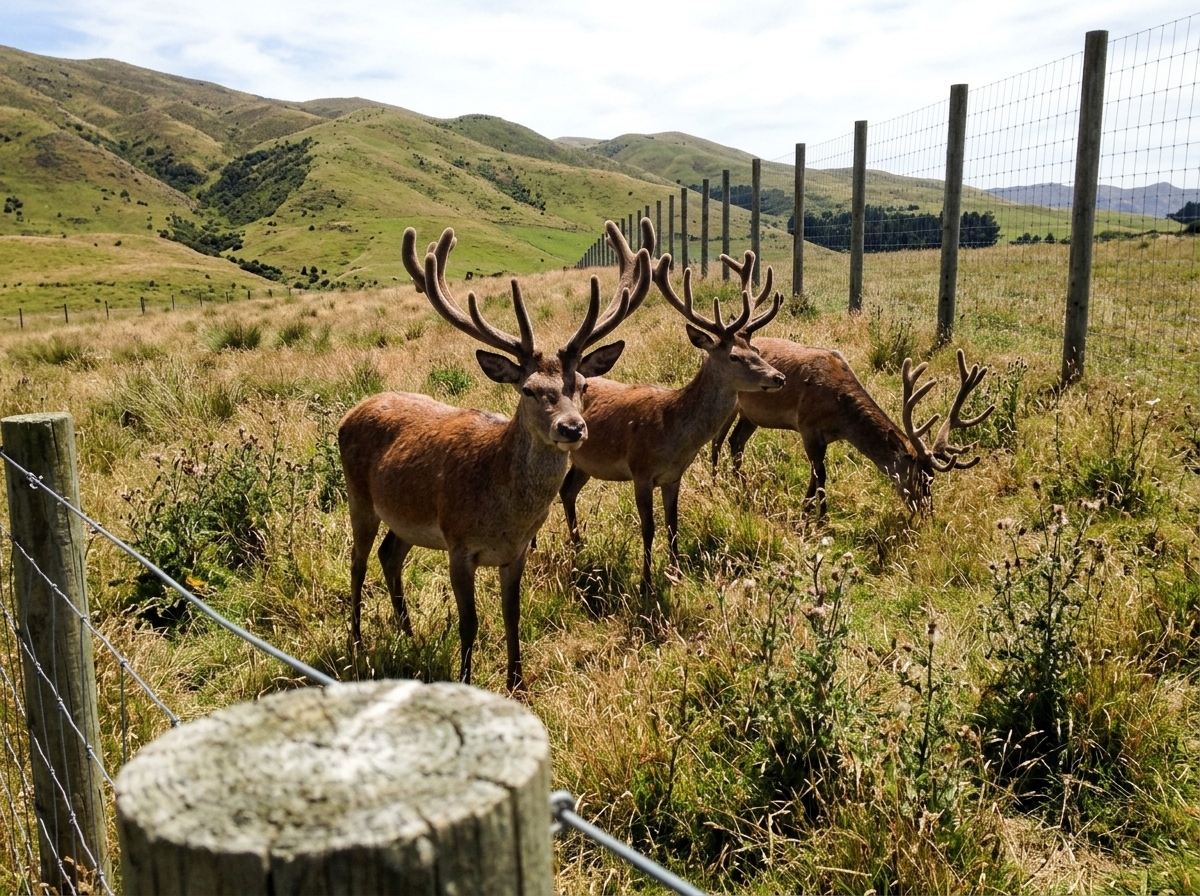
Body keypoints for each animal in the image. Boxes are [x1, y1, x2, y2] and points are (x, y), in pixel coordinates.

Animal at [338, 221, 650, 691]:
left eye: (583, 385)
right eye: (529, 390)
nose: (572, 428)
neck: (503, 513)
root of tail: (350, 413)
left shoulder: (516, 552)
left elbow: (512, 615)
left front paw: (517, 681)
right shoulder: (458, 545)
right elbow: (469, 623)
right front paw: (466, 681)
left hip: (404, 518)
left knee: (389, 555)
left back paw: (408, 633)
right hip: (359, 497)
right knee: (357, 562)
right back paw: (356, 641)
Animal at [559, 233, 785, 594]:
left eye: (756, 350)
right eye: (734, 356)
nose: (778, 377)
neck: (672, 434)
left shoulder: (674, 476)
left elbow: (673, 524)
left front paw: (676, 573)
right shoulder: (640, 470)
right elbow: (648, 527)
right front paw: (646, 584)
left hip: (585, 463)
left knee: (568, 490)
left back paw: (579, 547)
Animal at [711, 342, 995, 516]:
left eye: (932, 478)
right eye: (921, 478)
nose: (928, 512)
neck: (839, 415)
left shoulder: (823, 437)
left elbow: (816, 474)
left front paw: (809, 509)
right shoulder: (807, 425)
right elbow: (821, 474)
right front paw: (819, 518)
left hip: (752, 416)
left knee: (736, 441)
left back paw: (741, 483)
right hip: (732, 405)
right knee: (718, 441)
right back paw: (717, 481)